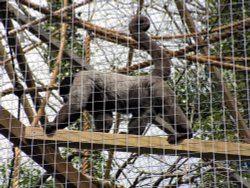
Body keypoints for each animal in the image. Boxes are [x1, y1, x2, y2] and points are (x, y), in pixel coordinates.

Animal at [44, 15, 193, 144]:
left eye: (64, 95)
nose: (64, 99)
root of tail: (151, 76)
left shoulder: (82, 78)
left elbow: (76, 104)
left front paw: (52, 125)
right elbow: (105, 117)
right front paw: (99, 132)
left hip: (157, 87)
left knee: (167, 105)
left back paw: (185, 133)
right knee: (144, 111)